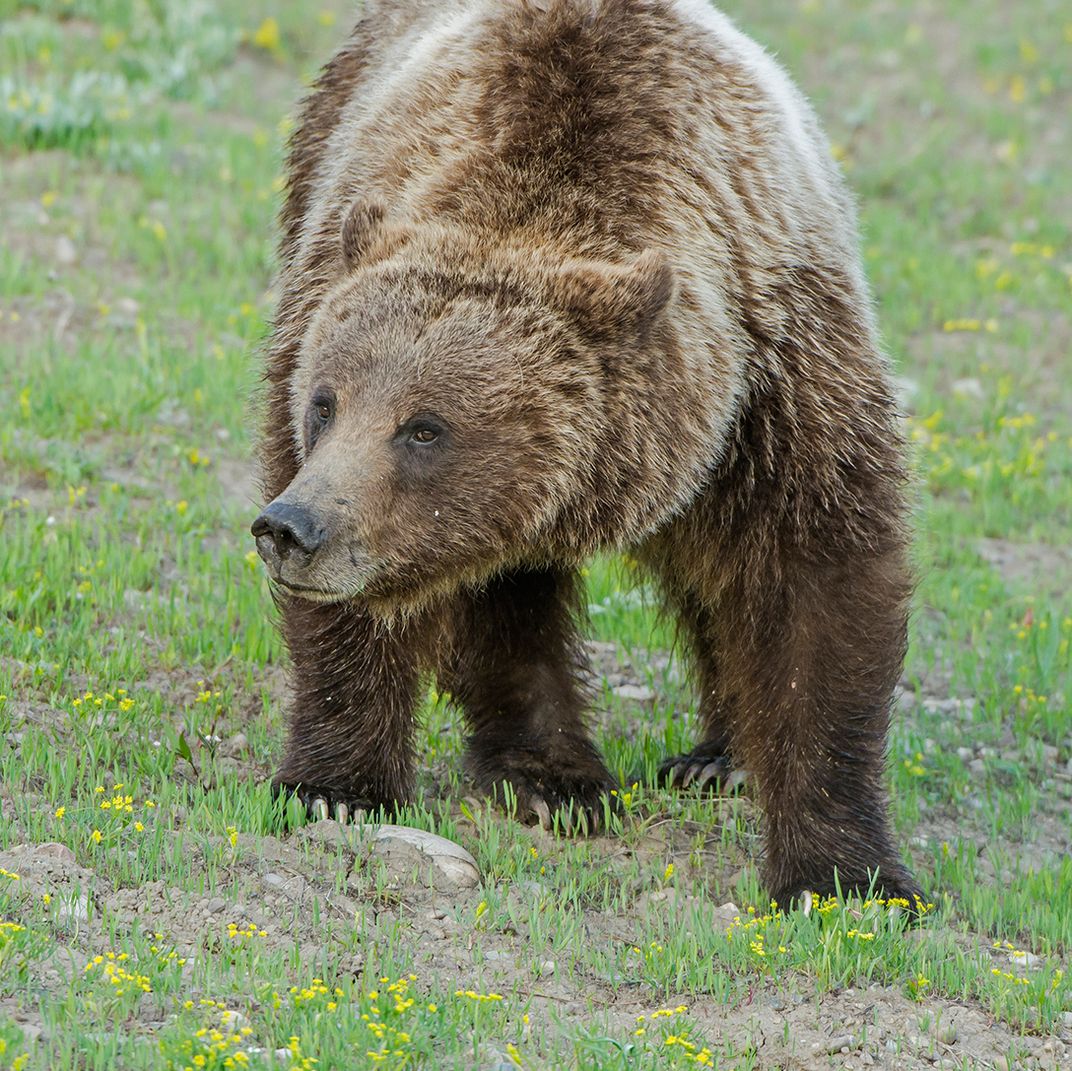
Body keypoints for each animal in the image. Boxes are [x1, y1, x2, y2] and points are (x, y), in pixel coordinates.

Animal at [250, 0, 921, 909]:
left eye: (425, 426)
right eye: (326, 402)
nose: (292, 528)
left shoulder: (775, 379)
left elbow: (816, 587)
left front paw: (844, 874)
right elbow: (368, 615)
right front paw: (335, 785)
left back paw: (712, 759)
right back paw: (550, 774)